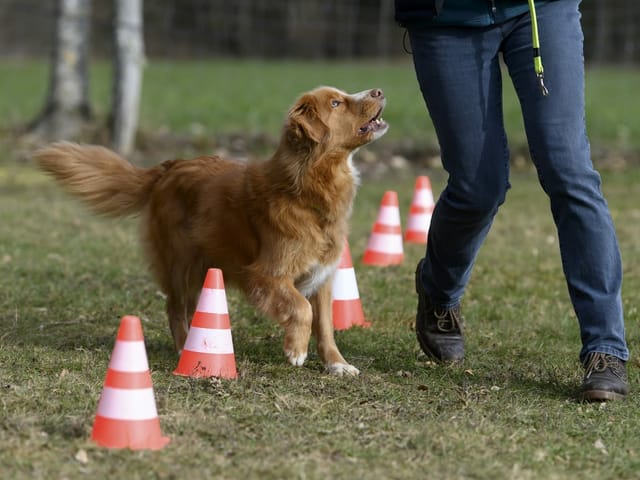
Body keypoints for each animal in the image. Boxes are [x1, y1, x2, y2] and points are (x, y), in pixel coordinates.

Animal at [35, 86, 388, 376]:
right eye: (336, 102)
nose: (379, 91)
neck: (306, 186)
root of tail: (169, 167)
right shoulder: (266, 274)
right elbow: (301, 308)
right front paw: (296, 350)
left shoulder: (322, 275)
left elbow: (325, 324)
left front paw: (336, 363)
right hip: (181, 263)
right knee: (174, 306)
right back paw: (183, 347)